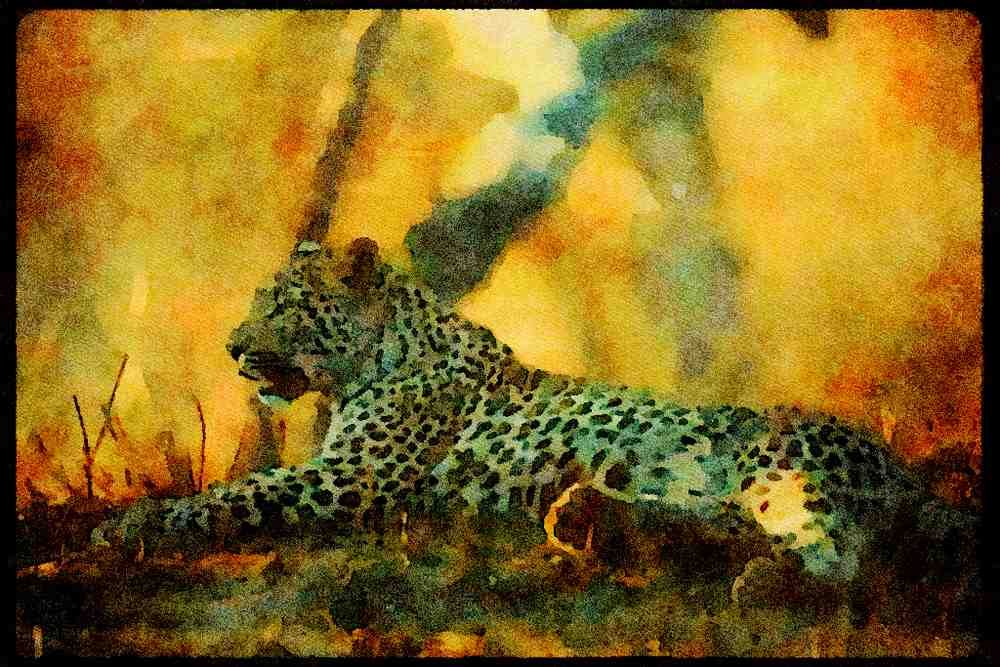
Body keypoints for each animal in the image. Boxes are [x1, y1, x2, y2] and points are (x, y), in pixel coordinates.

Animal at [92, 236, 969, 585]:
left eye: (285, 306)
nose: (234, 348)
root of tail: (906, 473)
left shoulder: (352, 478)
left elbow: (237, 493)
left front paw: (130, 524)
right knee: (718, 522)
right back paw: (592, 517)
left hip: (773, 459)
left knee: (836, 559)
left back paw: (752, 581)